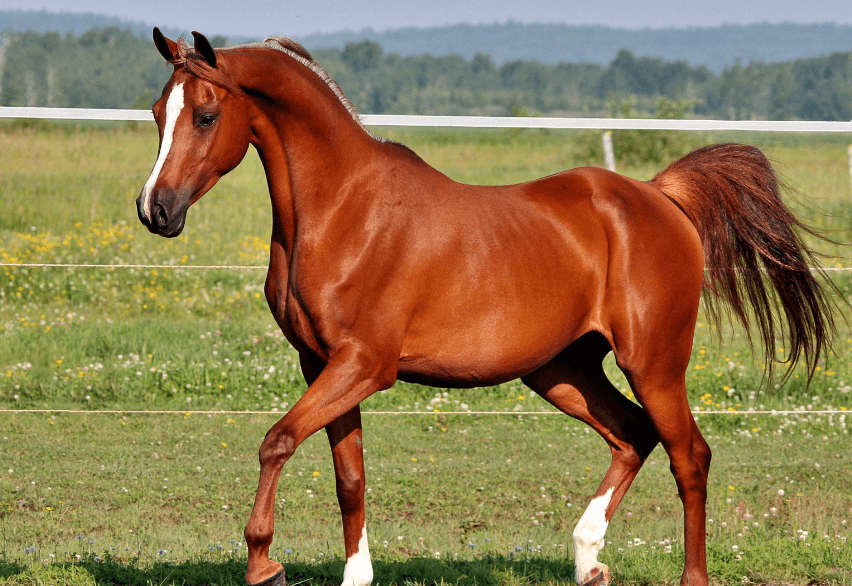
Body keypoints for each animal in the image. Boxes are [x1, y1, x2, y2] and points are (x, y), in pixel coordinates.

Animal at [137, 28, 836, 586]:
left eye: (205, 115)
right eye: (156, 112)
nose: (156, 210)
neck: (342, 209)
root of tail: (660, 197)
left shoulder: (364, 366)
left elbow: (276, 441)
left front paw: (263, 564)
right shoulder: (322, 365)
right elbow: (348, 477)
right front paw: (352, 575)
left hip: (654, 363)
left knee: (689, 455)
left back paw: (686, 575)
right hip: (561, 370)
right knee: (633, 434)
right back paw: (587, 559)